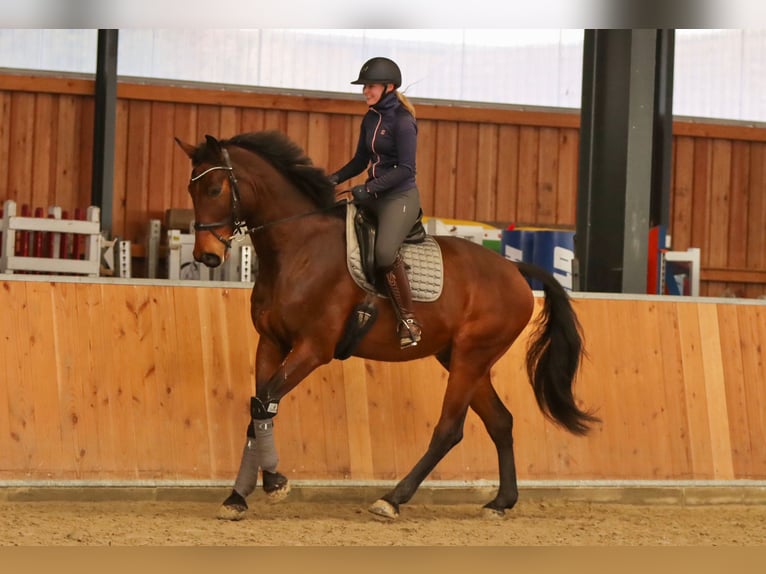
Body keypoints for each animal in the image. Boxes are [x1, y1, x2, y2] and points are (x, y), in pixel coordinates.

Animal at [174, 130, 600, 520]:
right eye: (192, 189)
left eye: (215, 188)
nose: (207, 256)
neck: (298, 249)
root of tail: (513, 269)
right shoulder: (271, 342)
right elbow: (258, 404)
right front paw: (238, 496)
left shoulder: (313, 348)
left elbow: (266, 402)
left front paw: (275, 482)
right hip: (462, 359)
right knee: (500, 422)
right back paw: (500, 502)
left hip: (471, 358)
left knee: (449, 429)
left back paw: (393, 499)